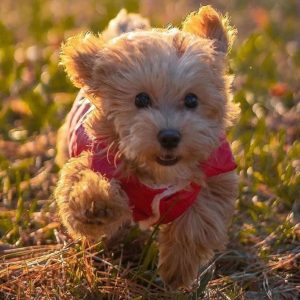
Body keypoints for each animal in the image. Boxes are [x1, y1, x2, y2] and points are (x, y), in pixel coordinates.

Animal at [55, 6, 239, 288]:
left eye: (192, 100)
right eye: (140, 99)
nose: (170, 137)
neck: (157, 175)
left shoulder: (215, 176)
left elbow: (197, 223)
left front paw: (176, 271)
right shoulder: (94, 156)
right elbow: (81, 182)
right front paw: (96, 203)